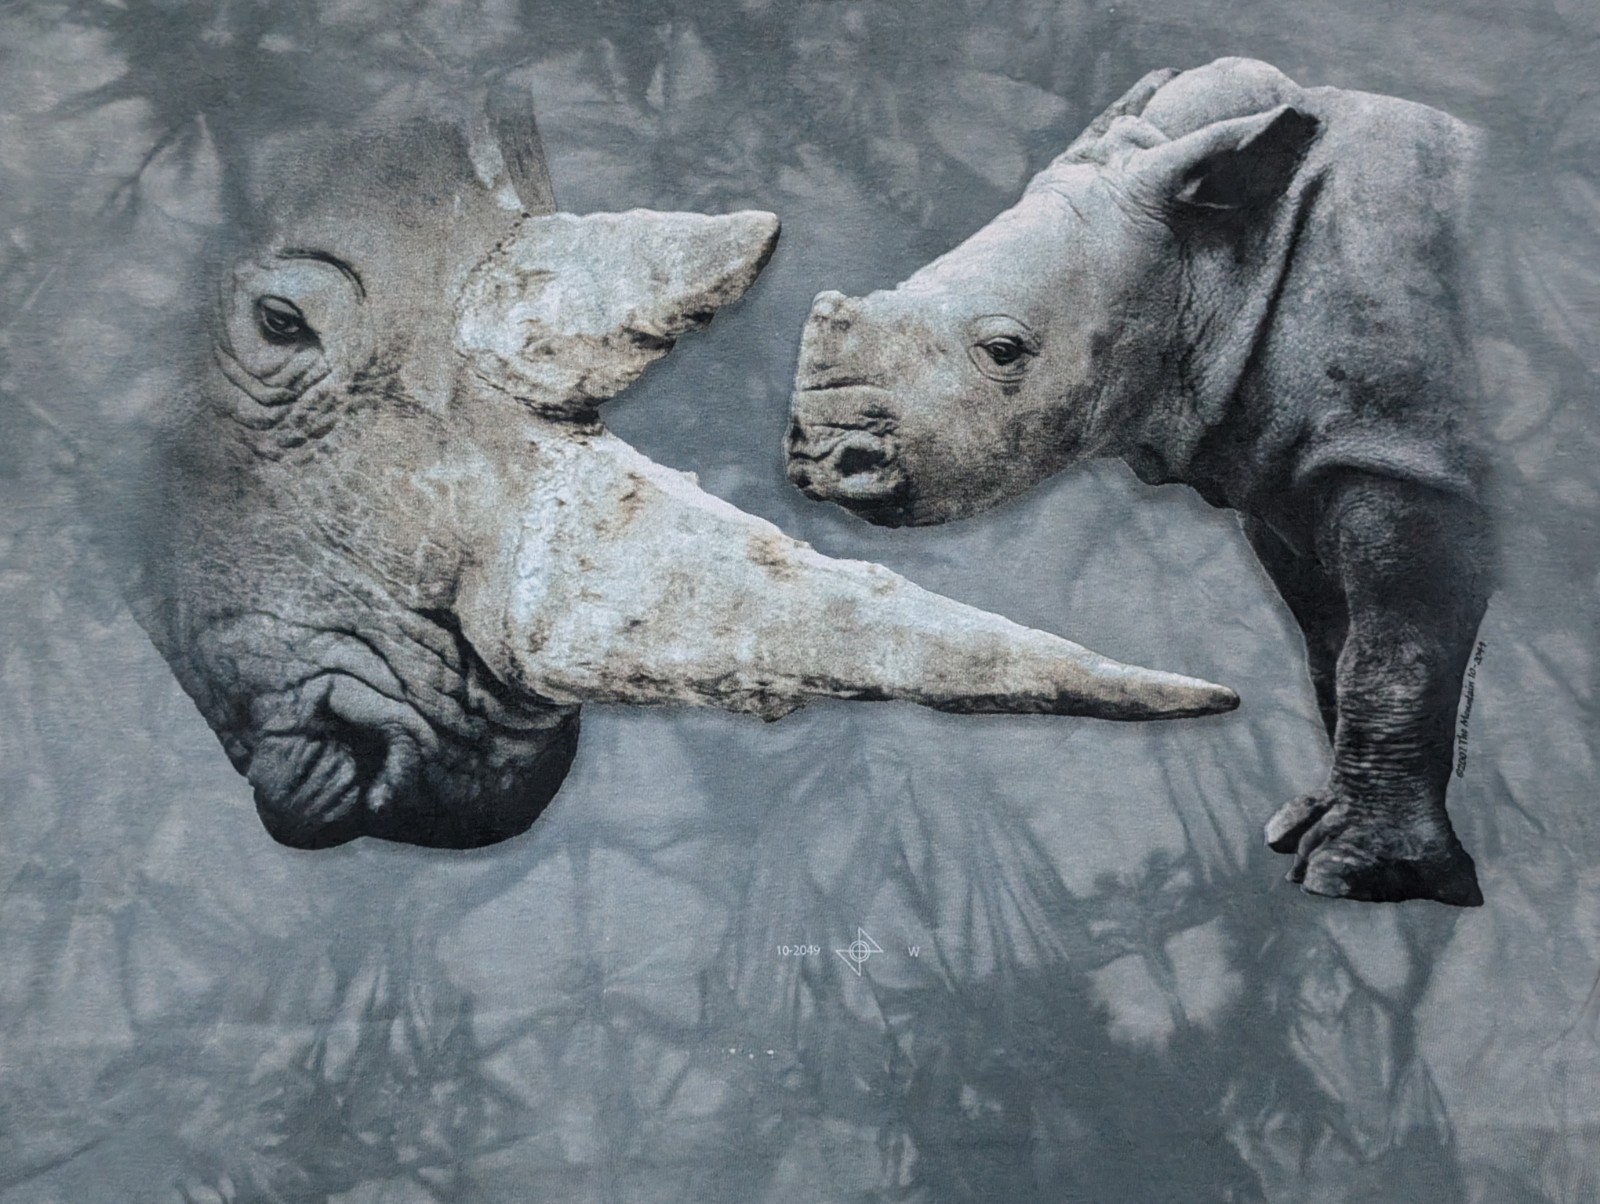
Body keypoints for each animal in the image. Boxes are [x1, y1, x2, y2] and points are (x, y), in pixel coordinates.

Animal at [786, 58, 1493, 906]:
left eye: (1004, 350)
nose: (819, 459)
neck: (1220, 260)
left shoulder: (1407, 455)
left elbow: (1389, 659)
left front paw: (1355, 873)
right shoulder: (1294, 466)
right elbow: (1333, 644)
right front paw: (1309, 827)